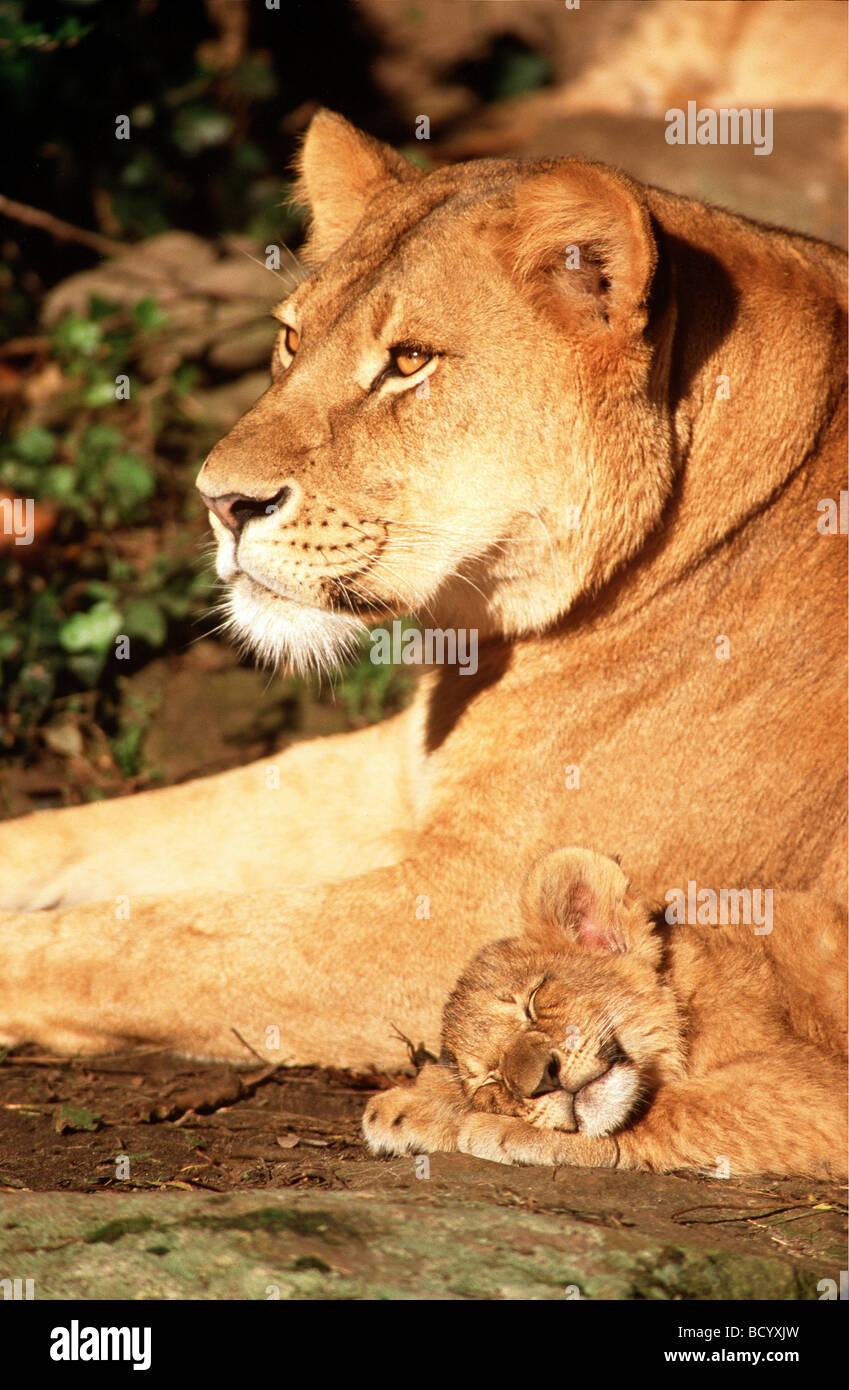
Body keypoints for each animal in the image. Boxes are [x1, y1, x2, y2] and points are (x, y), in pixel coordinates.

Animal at [0, 110, 845, 1068]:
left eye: (408, 361)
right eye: (291, 340)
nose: (219, 501)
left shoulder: (478, 916)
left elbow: (147, 942)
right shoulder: (404, 773)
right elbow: (135, 829)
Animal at [363, 849, 848, 1177]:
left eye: (534, 1000)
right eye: (491, 1081)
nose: (543, 1080)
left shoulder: (813, 1086)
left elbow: (680, 1108)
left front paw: (500, 1131)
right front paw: (408, 1105)